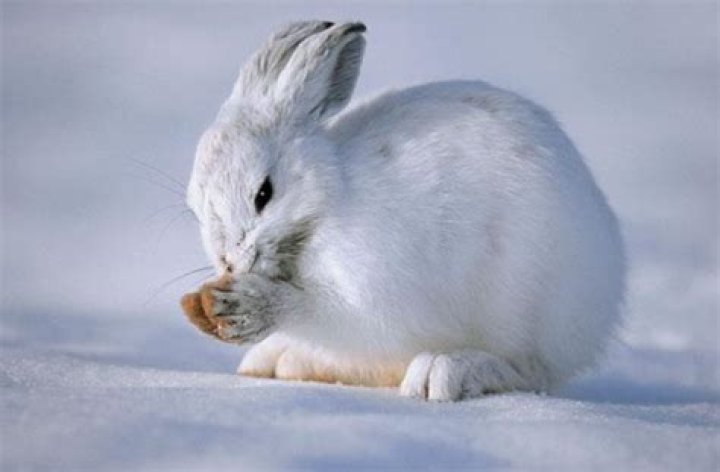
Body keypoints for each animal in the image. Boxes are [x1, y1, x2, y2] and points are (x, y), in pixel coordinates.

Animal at [183, 20, 625, 401]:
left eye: (264, 193)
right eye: (196, 207)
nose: (228, 261)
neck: (325, 202)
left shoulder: (375, 291)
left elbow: (328, 312)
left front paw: (247, 307)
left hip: (520, 301)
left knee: (527, 370)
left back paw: (444, 372)